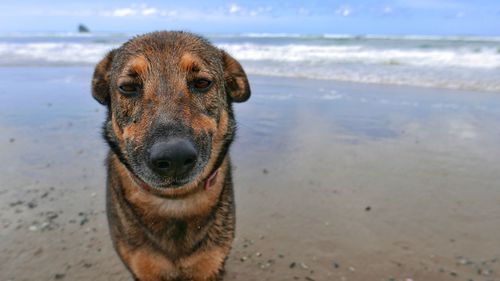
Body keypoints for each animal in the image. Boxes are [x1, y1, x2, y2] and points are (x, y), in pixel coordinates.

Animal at [91, 31, 250, 280]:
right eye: (128, 87)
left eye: (202, 83)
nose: (174, 157)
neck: (175, 201)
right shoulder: (144, 269)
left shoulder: (210, 266)